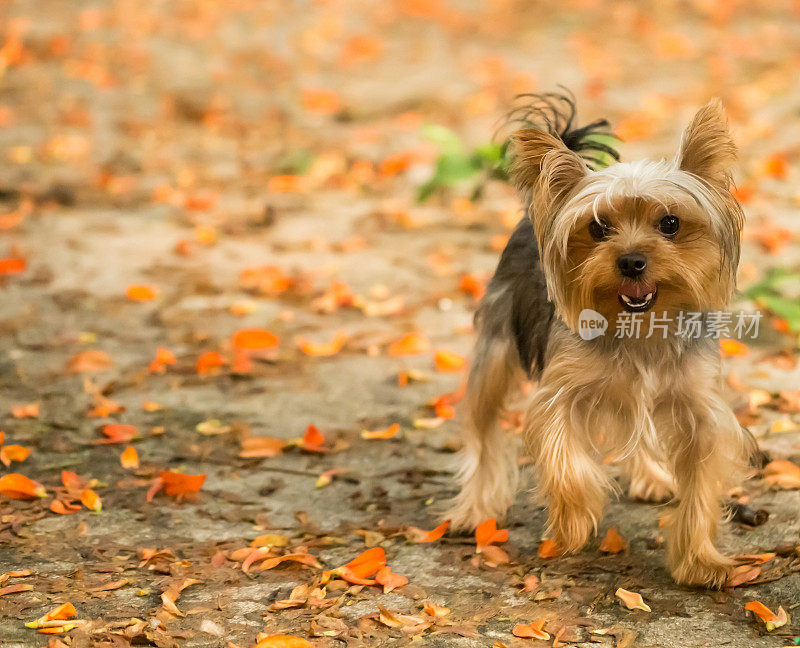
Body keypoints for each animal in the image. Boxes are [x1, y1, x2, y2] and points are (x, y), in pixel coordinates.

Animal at [454, 92, 752, 588]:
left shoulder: (701, 408)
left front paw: (700, 562)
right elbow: (566, 461)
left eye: (670, 223)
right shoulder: (560, 393)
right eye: (596, 228)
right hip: (495, 345)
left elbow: (700, 488)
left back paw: (651, 476)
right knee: (482, 428)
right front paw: (574, 522)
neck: (642, 328)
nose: (631, 261)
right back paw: (473, 510)